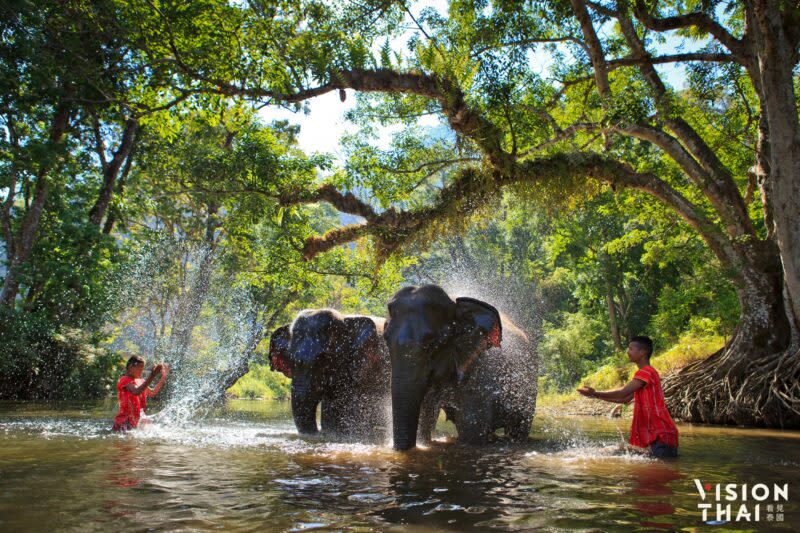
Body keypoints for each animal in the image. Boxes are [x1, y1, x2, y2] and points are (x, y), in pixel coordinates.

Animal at [386, 282, 540, 448]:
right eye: (385, 340)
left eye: (433, 344)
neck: (455, 303)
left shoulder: (480, 373)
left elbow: (471, 433)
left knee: (519, 428)